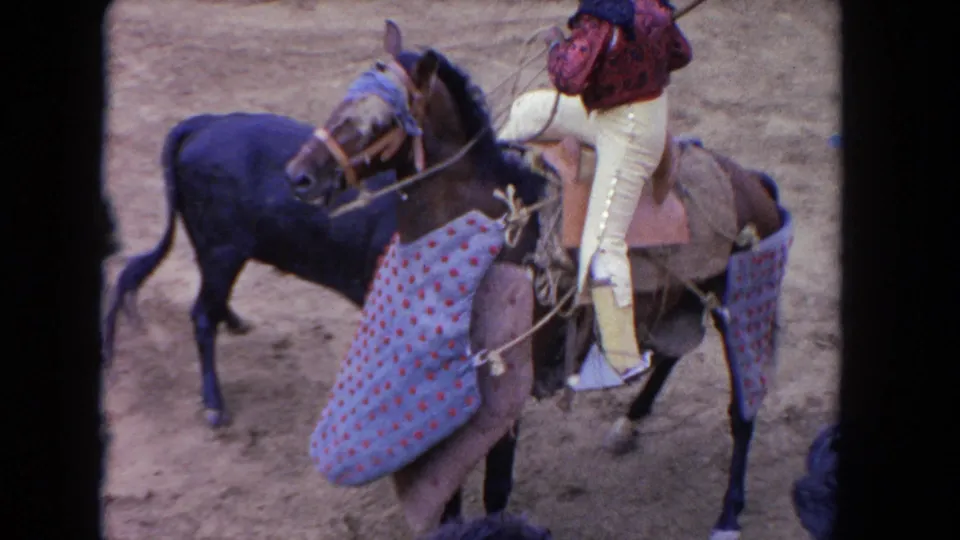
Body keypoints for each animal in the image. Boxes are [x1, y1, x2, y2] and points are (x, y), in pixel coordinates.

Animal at [283, 21, 790, 540]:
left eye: (379, 120)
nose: (298, 175)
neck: (498, 225)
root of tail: (752, 181)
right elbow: (449, 495)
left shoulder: (507, 397)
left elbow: (495, 490)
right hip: (684, 300)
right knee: (671, 354)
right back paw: (628, 425)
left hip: (738, 306)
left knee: (742, 410)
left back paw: (728, 514)